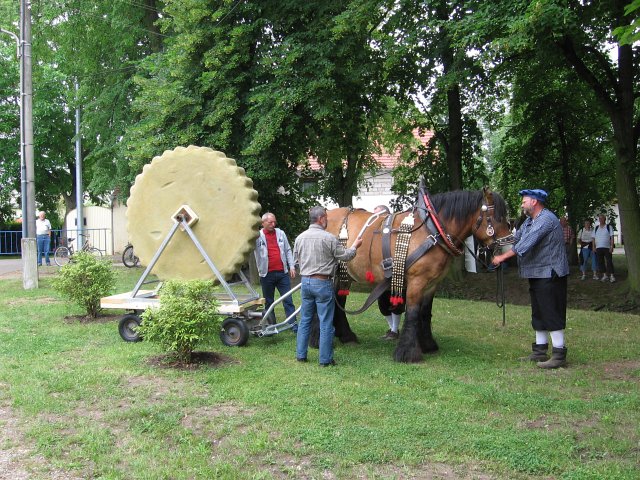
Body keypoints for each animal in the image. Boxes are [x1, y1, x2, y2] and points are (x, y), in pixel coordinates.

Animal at [324, 189, 510, 362]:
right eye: (498, 218)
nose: (510, 243)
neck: (432, 231)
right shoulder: (417, 281)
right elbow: (413, 314)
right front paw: (407, 353)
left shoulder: (432, 284)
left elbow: (425, 313)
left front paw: (428, 345)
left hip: (343, 276)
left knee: (339, 301)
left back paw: (346, 336)